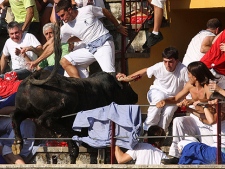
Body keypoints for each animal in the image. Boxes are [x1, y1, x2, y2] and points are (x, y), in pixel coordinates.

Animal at [11, 69, 139, 162]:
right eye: (127, 85)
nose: (136, 96)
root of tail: (37, 74)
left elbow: (73, 152)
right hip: (64, 103)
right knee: (44, 120)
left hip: (26, 109)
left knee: (15, 117)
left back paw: (18, 143)